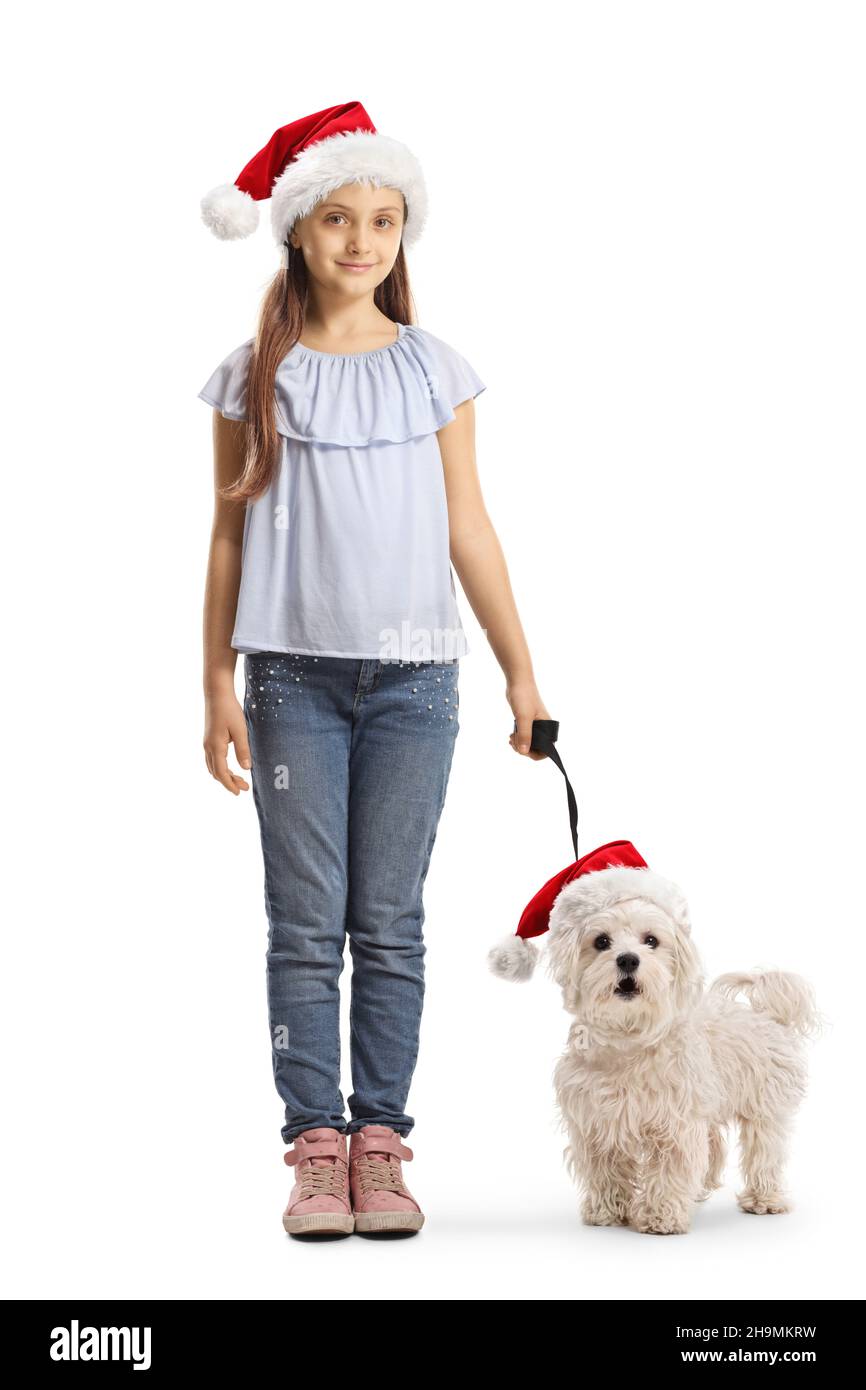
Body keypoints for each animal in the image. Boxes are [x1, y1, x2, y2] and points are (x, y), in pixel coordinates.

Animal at [492, 856, 822, 1239]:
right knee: (713, 1146)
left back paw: (764, 1199)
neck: (629, 1037)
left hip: (763, 1108)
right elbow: (606, 1168)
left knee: (764, 1151)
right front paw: (607, 1211)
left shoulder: (674, 1121)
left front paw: (661, 1217)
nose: (627, 959)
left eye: (651, 940)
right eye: (601, 941)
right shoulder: (598, 1120)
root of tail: (767, 1014)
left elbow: (669, 1169)